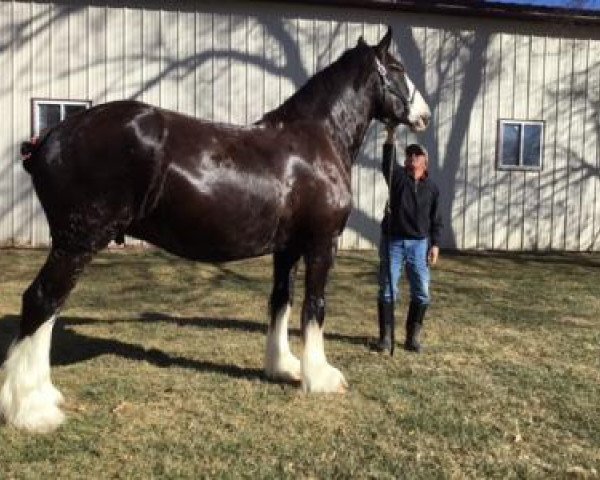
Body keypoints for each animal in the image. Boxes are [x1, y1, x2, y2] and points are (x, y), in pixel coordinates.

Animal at [1, 25, 432, 432]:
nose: (425, 116)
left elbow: (281, 300)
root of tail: (49, 138)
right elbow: (315, 305)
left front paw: (282, 367)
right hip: (77, 242)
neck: (317, 140)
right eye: (398, 68)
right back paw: (33, 410)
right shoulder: (321, 243)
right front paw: (321, 378)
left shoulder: (287, 248)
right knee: (42, 301)